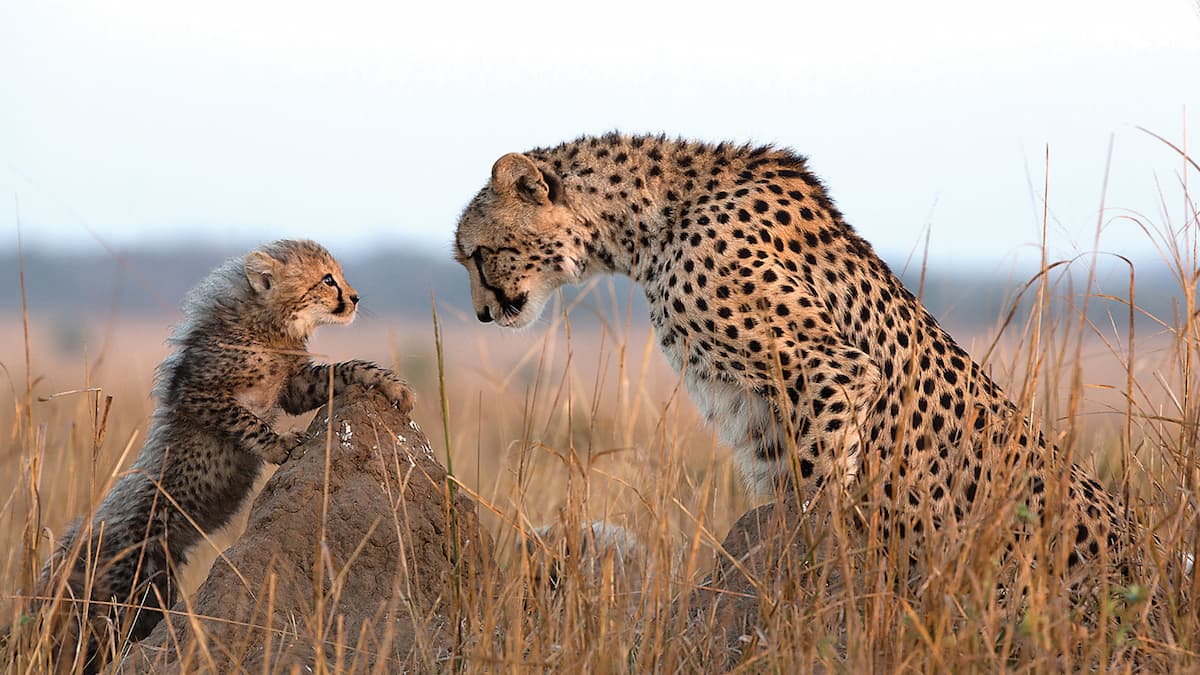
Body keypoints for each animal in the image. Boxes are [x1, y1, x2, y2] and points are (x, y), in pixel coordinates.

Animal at [25, 239, 413, 670]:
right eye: (328, 279)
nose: (356, 297)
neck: (270, 326)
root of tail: (79, 534)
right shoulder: (199, 396)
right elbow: (244, 419)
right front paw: (278, 443)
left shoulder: (296, 386)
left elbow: (343, 370)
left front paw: (388, 383)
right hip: (123, 588)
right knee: (92, 638)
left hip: (156, 586)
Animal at [452, 133, 1154, 618]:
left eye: (478, 254)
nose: (482, 315)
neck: (653, 220)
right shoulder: (763, 415)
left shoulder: (830, 369)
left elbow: (815, 499)